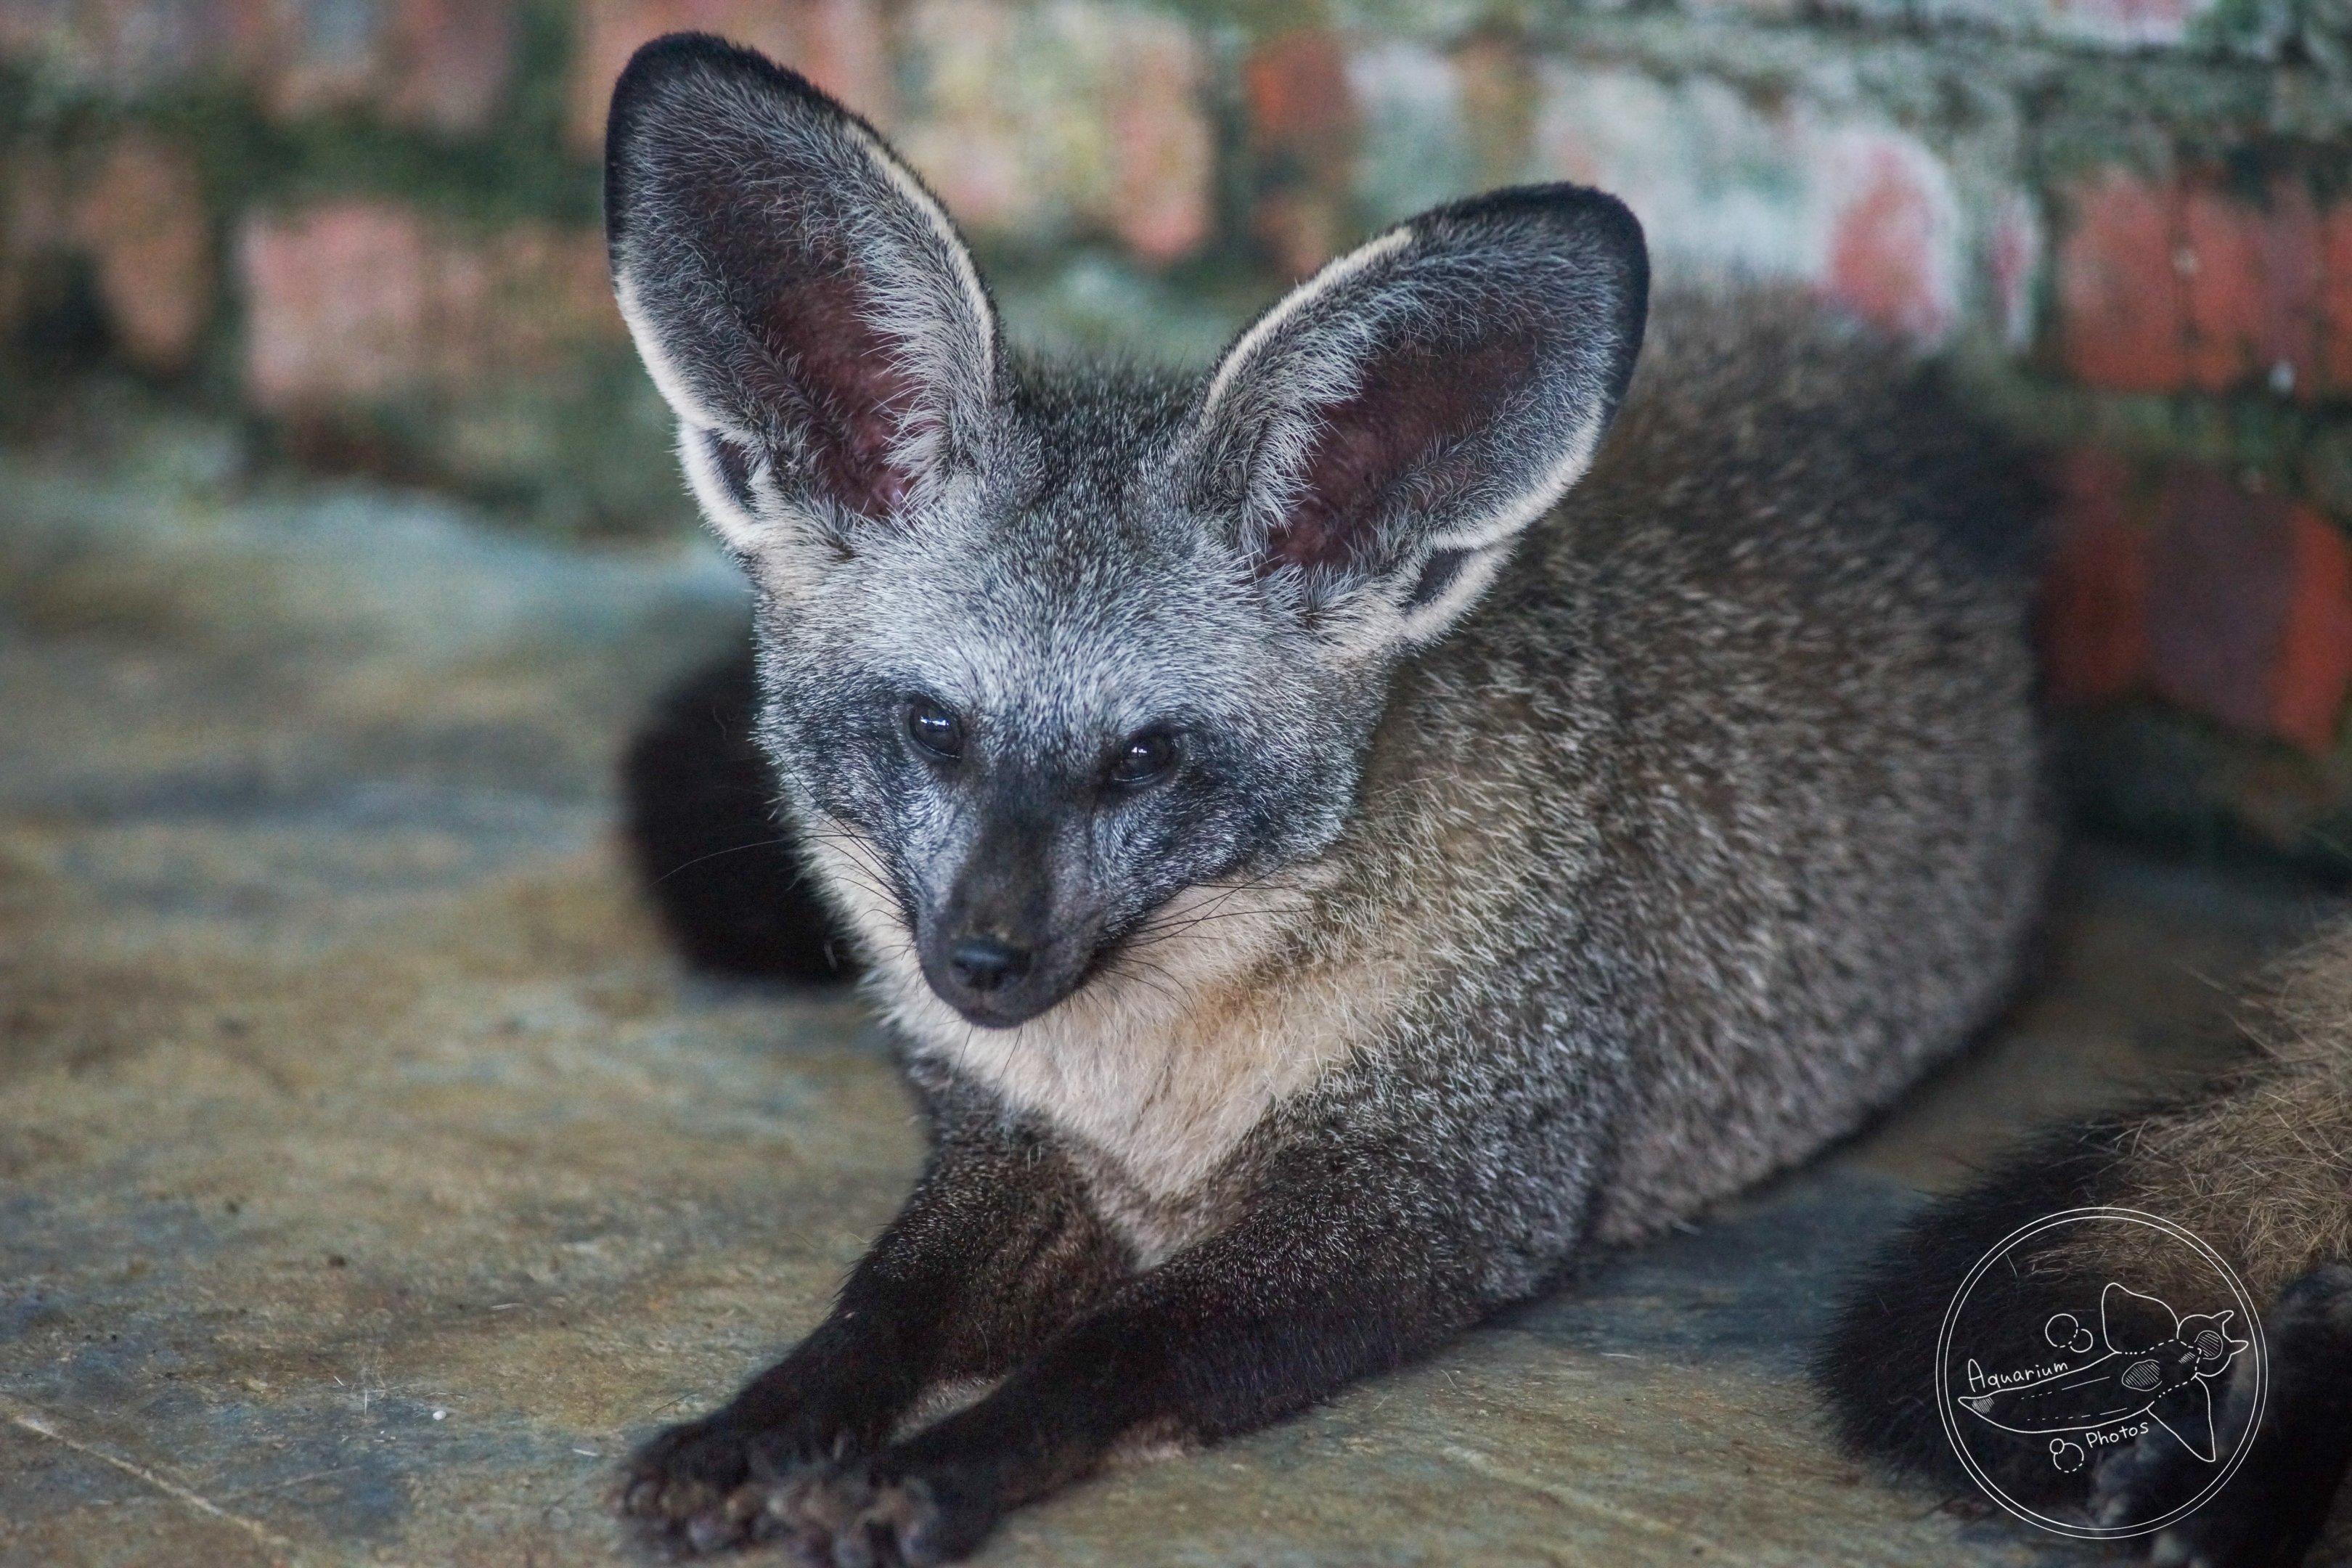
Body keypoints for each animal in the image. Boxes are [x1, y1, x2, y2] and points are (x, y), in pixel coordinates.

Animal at [602, 31, 2053, 1565]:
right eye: (933, 728)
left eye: (1147, 759)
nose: (981, 964)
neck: (1141, 1087)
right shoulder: (1007, 1141)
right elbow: (885, 1302)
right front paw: (764, 1420)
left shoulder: (1429, 1198)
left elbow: (1108, 1356)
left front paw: (935, 1471)